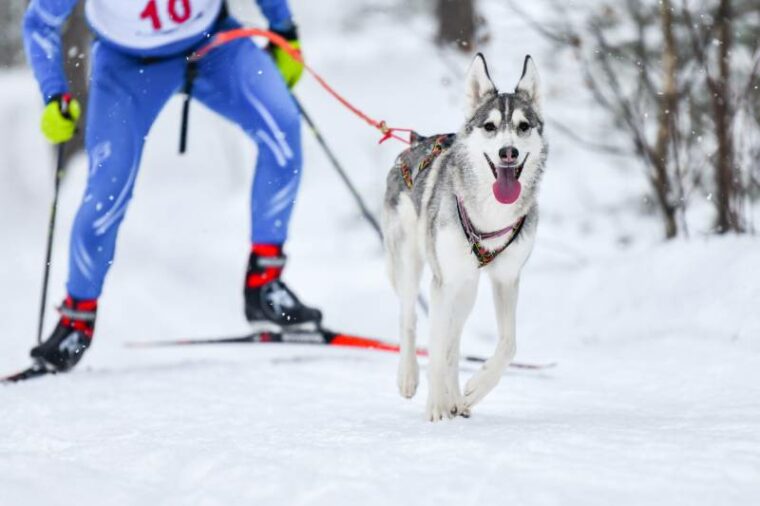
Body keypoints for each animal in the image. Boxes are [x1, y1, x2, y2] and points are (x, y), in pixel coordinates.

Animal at [382, 53, 544, 422]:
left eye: (524, 126)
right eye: (490, 127)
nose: (509, 152)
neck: (491, 215)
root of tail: (415, 144)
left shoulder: (506, 278)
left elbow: (508, 344)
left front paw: (473, 389)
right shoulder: (442, 282)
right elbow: (435, 346)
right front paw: (435, 407)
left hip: (467, 287)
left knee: (453, 341)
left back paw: (456, 397)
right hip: (414, 265)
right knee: (410, 317)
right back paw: (410, 377)